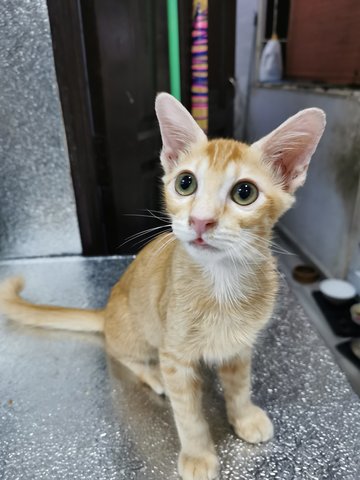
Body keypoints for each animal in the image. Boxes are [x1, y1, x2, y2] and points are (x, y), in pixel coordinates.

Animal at [0, 94, 326, 480]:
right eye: (186, 183)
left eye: (244, 192)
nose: (200, 221)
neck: (222, 283)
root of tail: (105, 310)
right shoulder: (175, 357)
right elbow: (188, 414)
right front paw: (198, 456)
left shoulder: (238, 347)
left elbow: (239, 386)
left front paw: (244, 417)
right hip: (138, 331)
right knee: (121, 353)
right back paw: (152, 374)